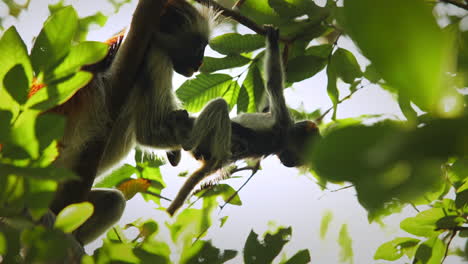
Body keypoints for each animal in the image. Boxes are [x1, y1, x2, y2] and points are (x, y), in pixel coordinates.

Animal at [166, 25, 320, 214]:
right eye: (289, 160)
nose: (286, 161)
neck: (283, 141)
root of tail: (217, 160)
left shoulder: (283, 121)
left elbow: (273, 83)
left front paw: (273, 41)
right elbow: (266, 105)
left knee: (218, 107)